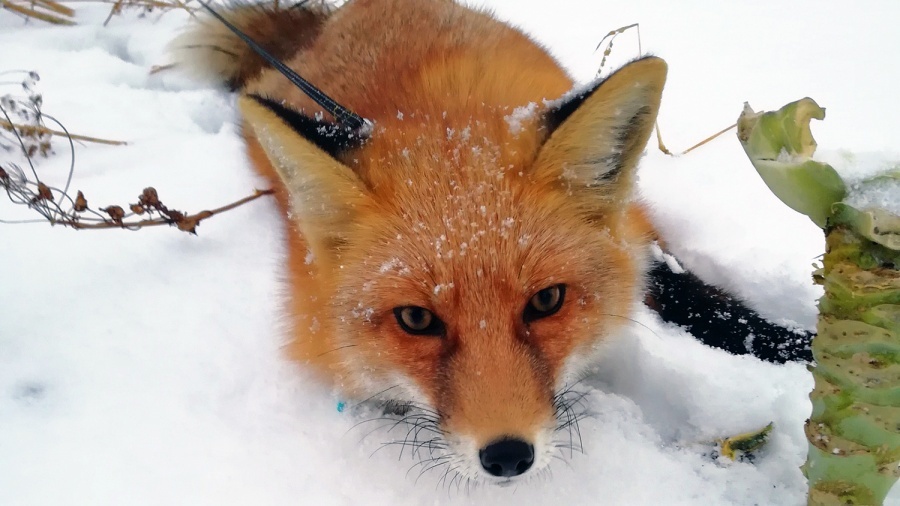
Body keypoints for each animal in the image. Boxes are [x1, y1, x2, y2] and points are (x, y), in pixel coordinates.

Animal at [171, 0, 816, 484]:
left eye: (547, 301)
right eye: (415, 319)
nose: (507, 457)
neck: (445, 117)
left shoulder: (638, 231)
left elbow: (711, 306)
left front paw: (800, 349)